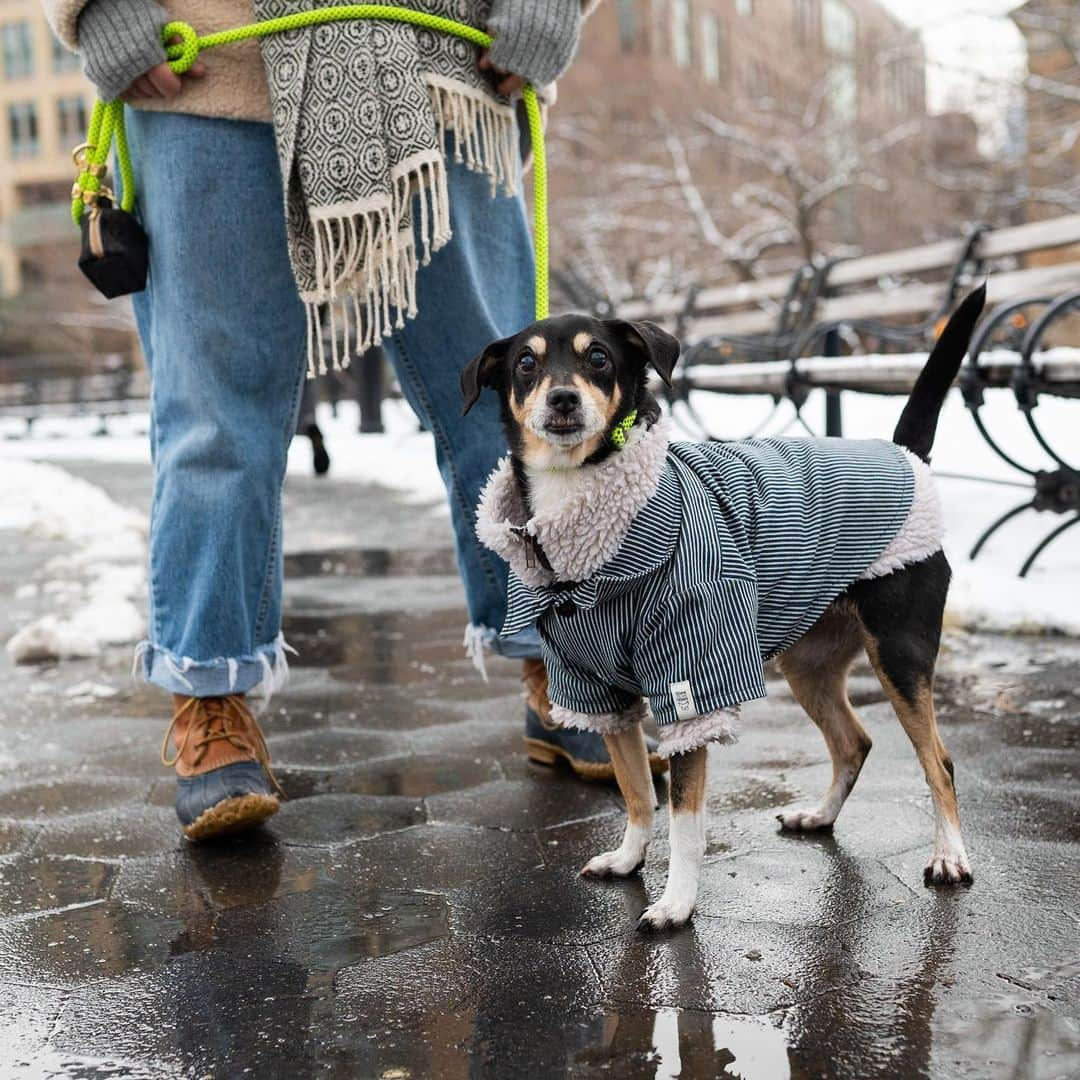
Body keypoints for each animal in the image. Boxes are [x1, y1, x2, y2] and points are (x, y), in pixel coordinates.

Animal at [460, 291, 984, 933]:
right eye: (526, 365)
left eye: (600, 358)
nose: (562, 398)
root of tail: (906, 454)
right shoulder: (598, 693)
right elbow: (637, 792)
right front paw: (629, 859)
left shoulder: (689, 686)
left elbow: (684, 817)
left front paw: (676, 903)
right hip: (808, 664)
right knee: (853, 743)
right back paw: (820, 816)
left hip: (900, 654)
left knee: (939, 760)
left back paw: (950, 855)